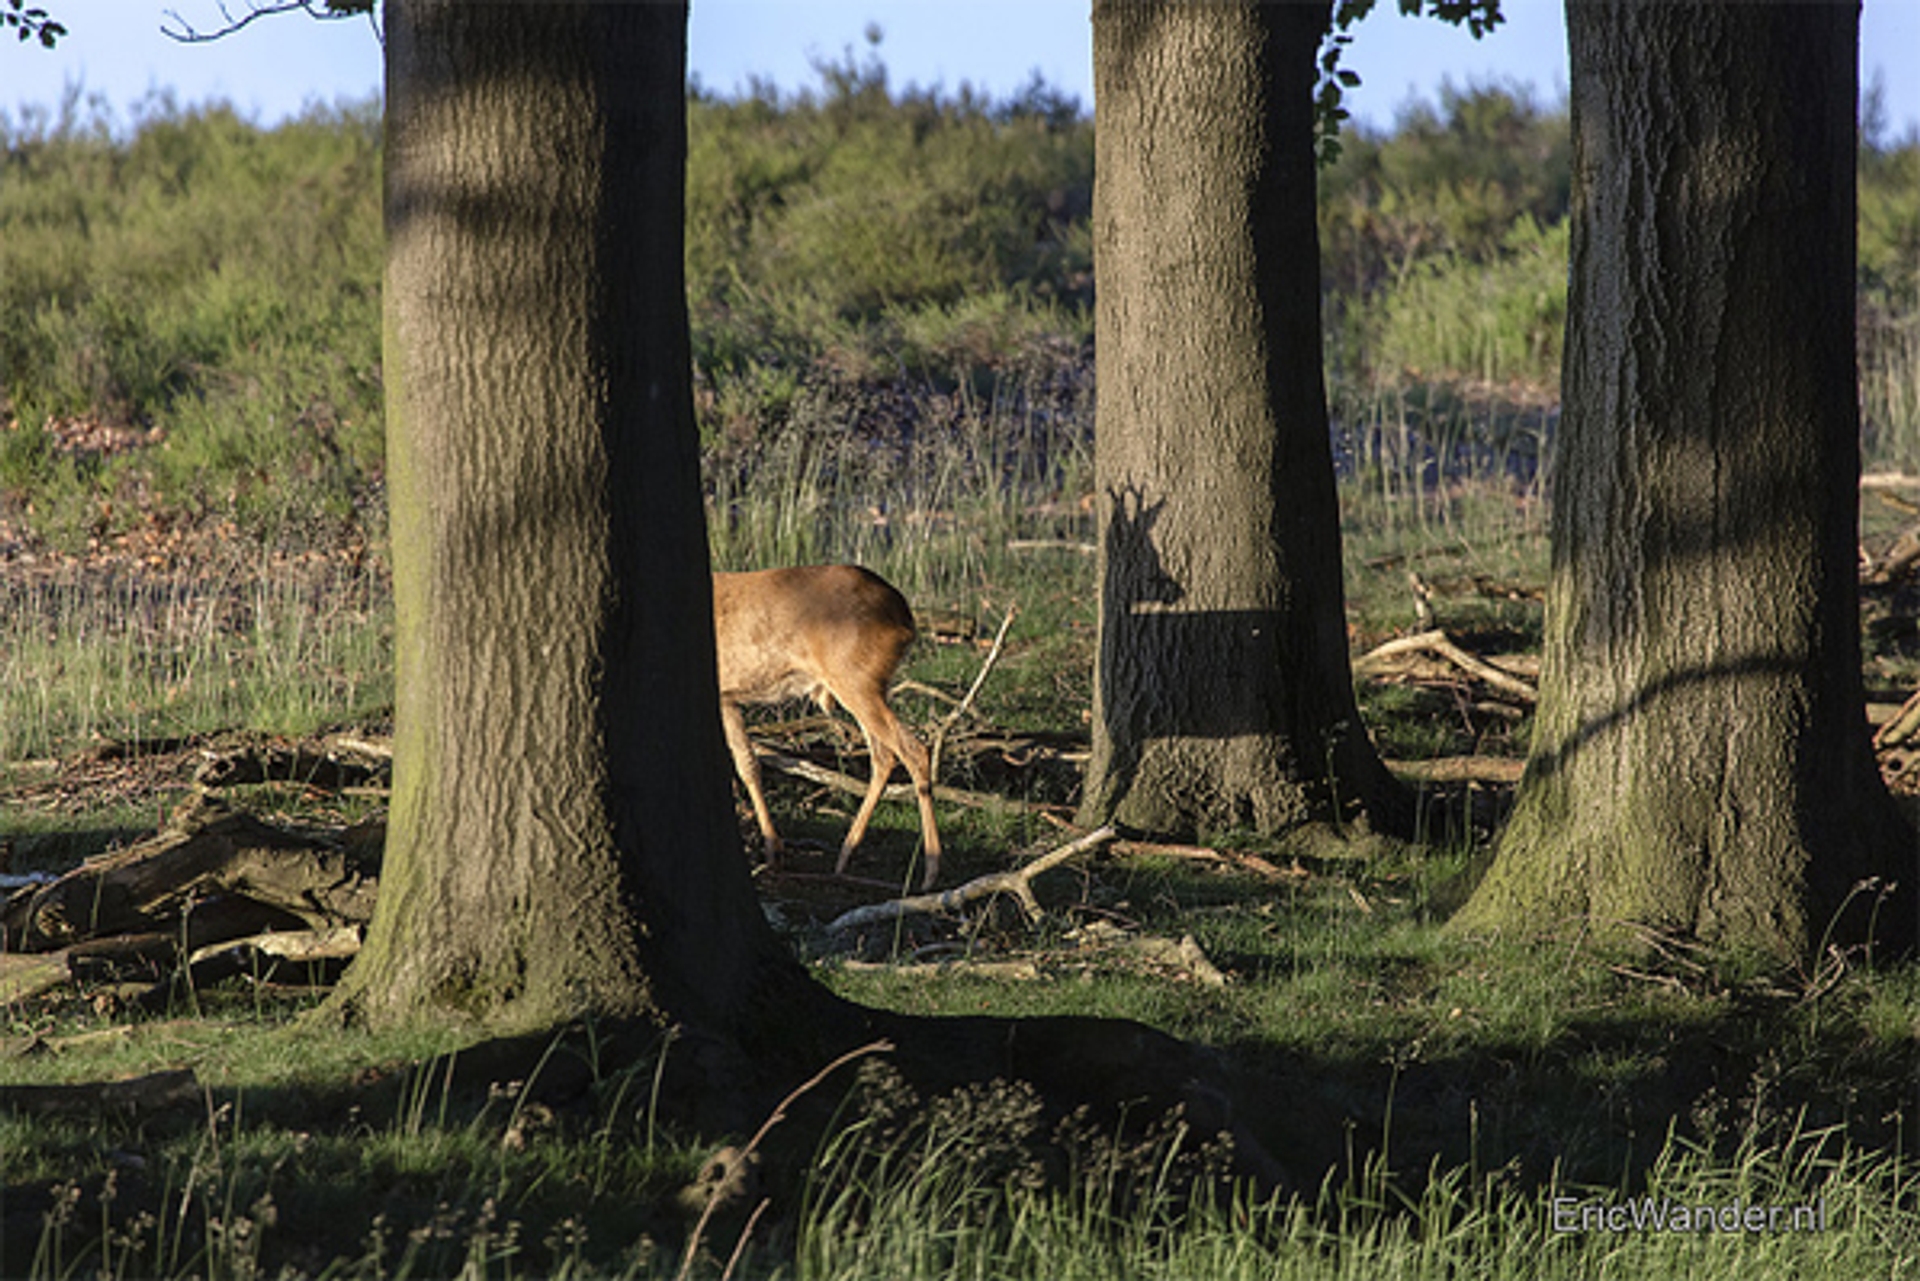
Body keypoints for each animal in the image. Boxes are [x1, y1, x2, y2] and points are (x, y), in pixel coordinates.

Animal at [710, 564, 940, 887]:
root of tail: (905, 618)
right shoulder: (728, 698)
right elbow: (748, 766)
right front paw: (773, 850)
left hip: (856, 680)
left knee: (914, 749)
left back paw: (930, 872)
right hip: (866, 686)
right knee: (885, 755)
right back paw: (845, 855)